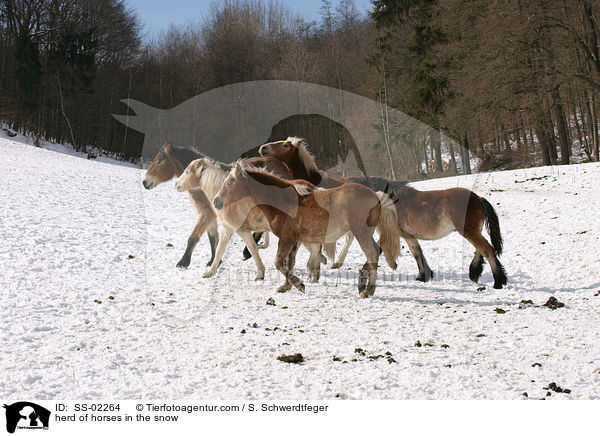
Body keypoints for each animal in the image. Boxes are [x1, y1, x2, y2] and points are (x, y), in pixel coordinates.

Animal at [142, 143, 290, 268]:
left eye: (159, 162)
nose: (144, 182)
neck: (204, 182)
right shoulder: (210, 217)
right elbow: (213, 239)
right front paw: (214, 261)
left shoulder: (206, 215)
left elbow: (193, 238)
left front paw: (183, 262)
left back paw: (247, 252)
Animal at [213, 162, 400, 298]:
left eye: (229, 182)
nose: (216, 202)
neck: (283, 201)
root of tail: (376, 195)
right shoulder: (294, 240)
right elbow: (289, 263)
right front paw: (286, 286)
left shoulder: (287, 238)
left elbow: (278, 262)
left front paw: (299, 285)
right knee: (376, 251)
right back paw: (362, 283)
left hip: (361, 232)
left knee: (372, 253)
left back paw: (367, 290)